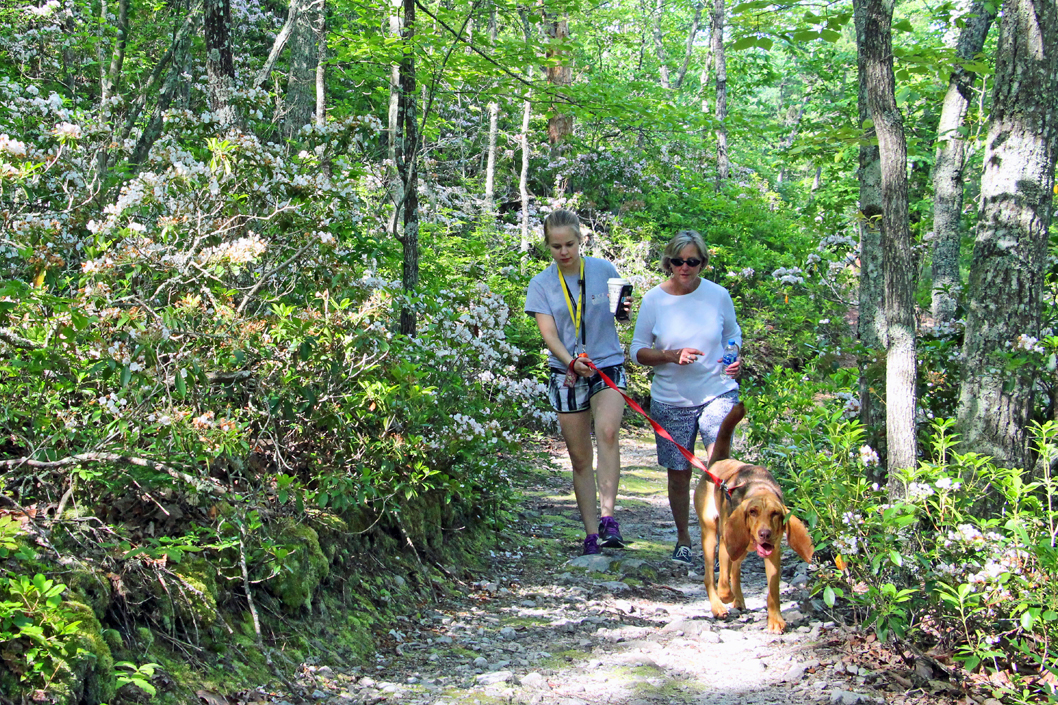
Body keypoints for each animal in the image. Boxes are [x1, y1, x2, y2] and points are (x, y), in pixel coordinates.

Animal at [689, 400, 812, 630]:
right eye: (753, 512)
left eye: (775, 514)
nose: (765, 534)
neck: (760, 488)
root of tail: (718, 461)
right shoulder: (727, 545)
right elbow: (723, 580)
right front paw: (725, 596)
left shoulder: (773, 554)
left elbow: (773, 591)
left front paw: (775, 620)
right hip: (711, 535)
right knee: (711, 577)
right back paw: (718, 606)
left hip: (742, 548)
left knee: (735, 571)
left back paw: (738, 599)